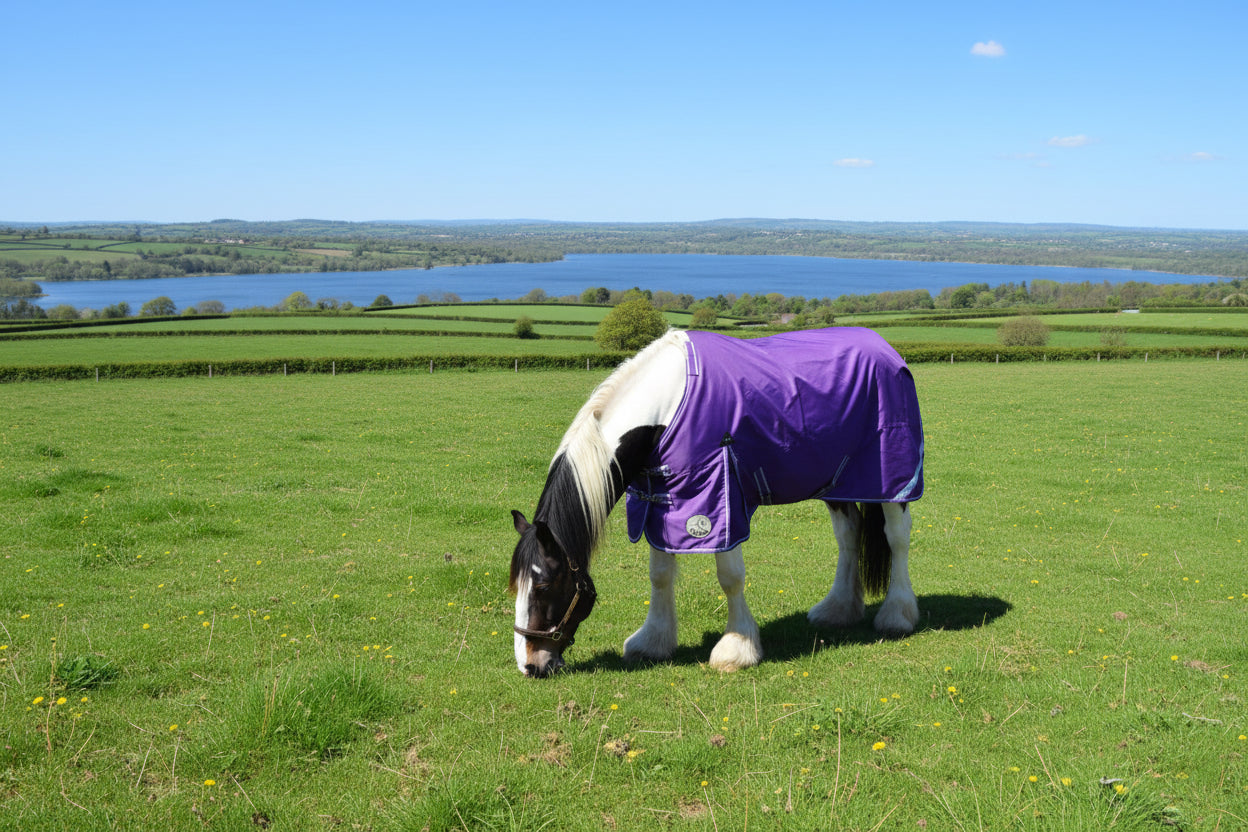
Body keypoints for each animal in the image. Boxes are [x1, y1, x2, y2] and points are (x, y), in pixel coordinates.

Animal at [509, 327, 924, 677]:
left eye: (542, 586)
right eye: (517, 586)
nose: (530, 665)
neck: (666, 407)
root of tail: (887, 349)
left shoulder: (720, 500)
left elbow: (730, 577)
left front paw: (736, 648)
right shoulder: (658, 501)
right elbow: (660, 574)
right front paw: (652, 641)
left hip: (891, 480)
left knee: (897, 536)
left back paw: (898, 614)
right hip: (836, 481)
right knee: (848, 534)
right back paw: (838, 609)